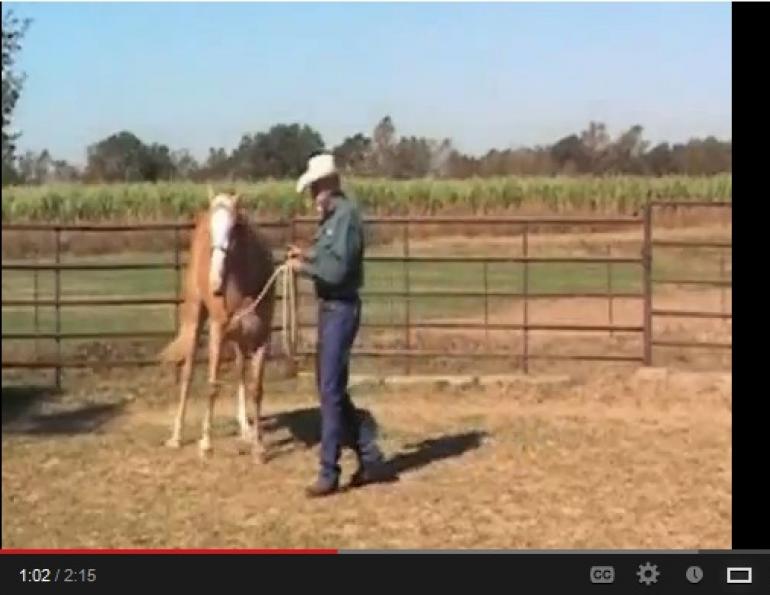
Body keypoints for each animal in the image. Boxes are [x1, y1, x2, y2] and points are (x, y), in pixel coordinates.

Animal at [158, 188, 276, 461]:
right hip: (196, 319)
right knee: (188, 374)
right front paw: (206, 444)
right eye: (212, 230)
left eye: (235, 227)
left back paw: (245, 428)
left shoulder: (261, 337)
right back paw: (176, 437)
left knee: (240, 370)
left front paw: (259, 447)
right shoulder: (218, 331)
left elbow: (256, 389)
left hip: (241, 338)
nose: (215, 284)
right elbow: (212, 385)